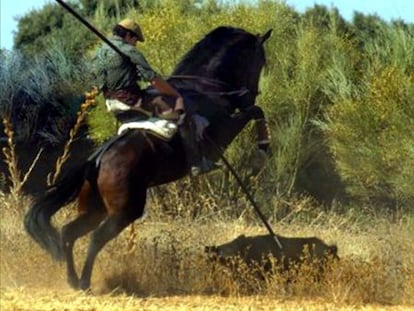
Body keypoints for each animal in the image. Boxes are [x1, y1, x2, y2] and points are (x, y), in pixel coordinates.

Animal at [24, 25, 274, 292]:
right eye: (260, 61)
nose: (249, 95)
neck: (204, 88)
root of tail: (94, 162)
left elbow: (254, 111)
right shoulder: (223, 132)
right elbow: (256, 111)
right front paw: (262, 150)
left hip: (96, 209)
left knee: (69, 233)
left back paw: (73, 281)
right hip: (125, 210)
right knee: (95, 238)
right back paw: (84, 282)